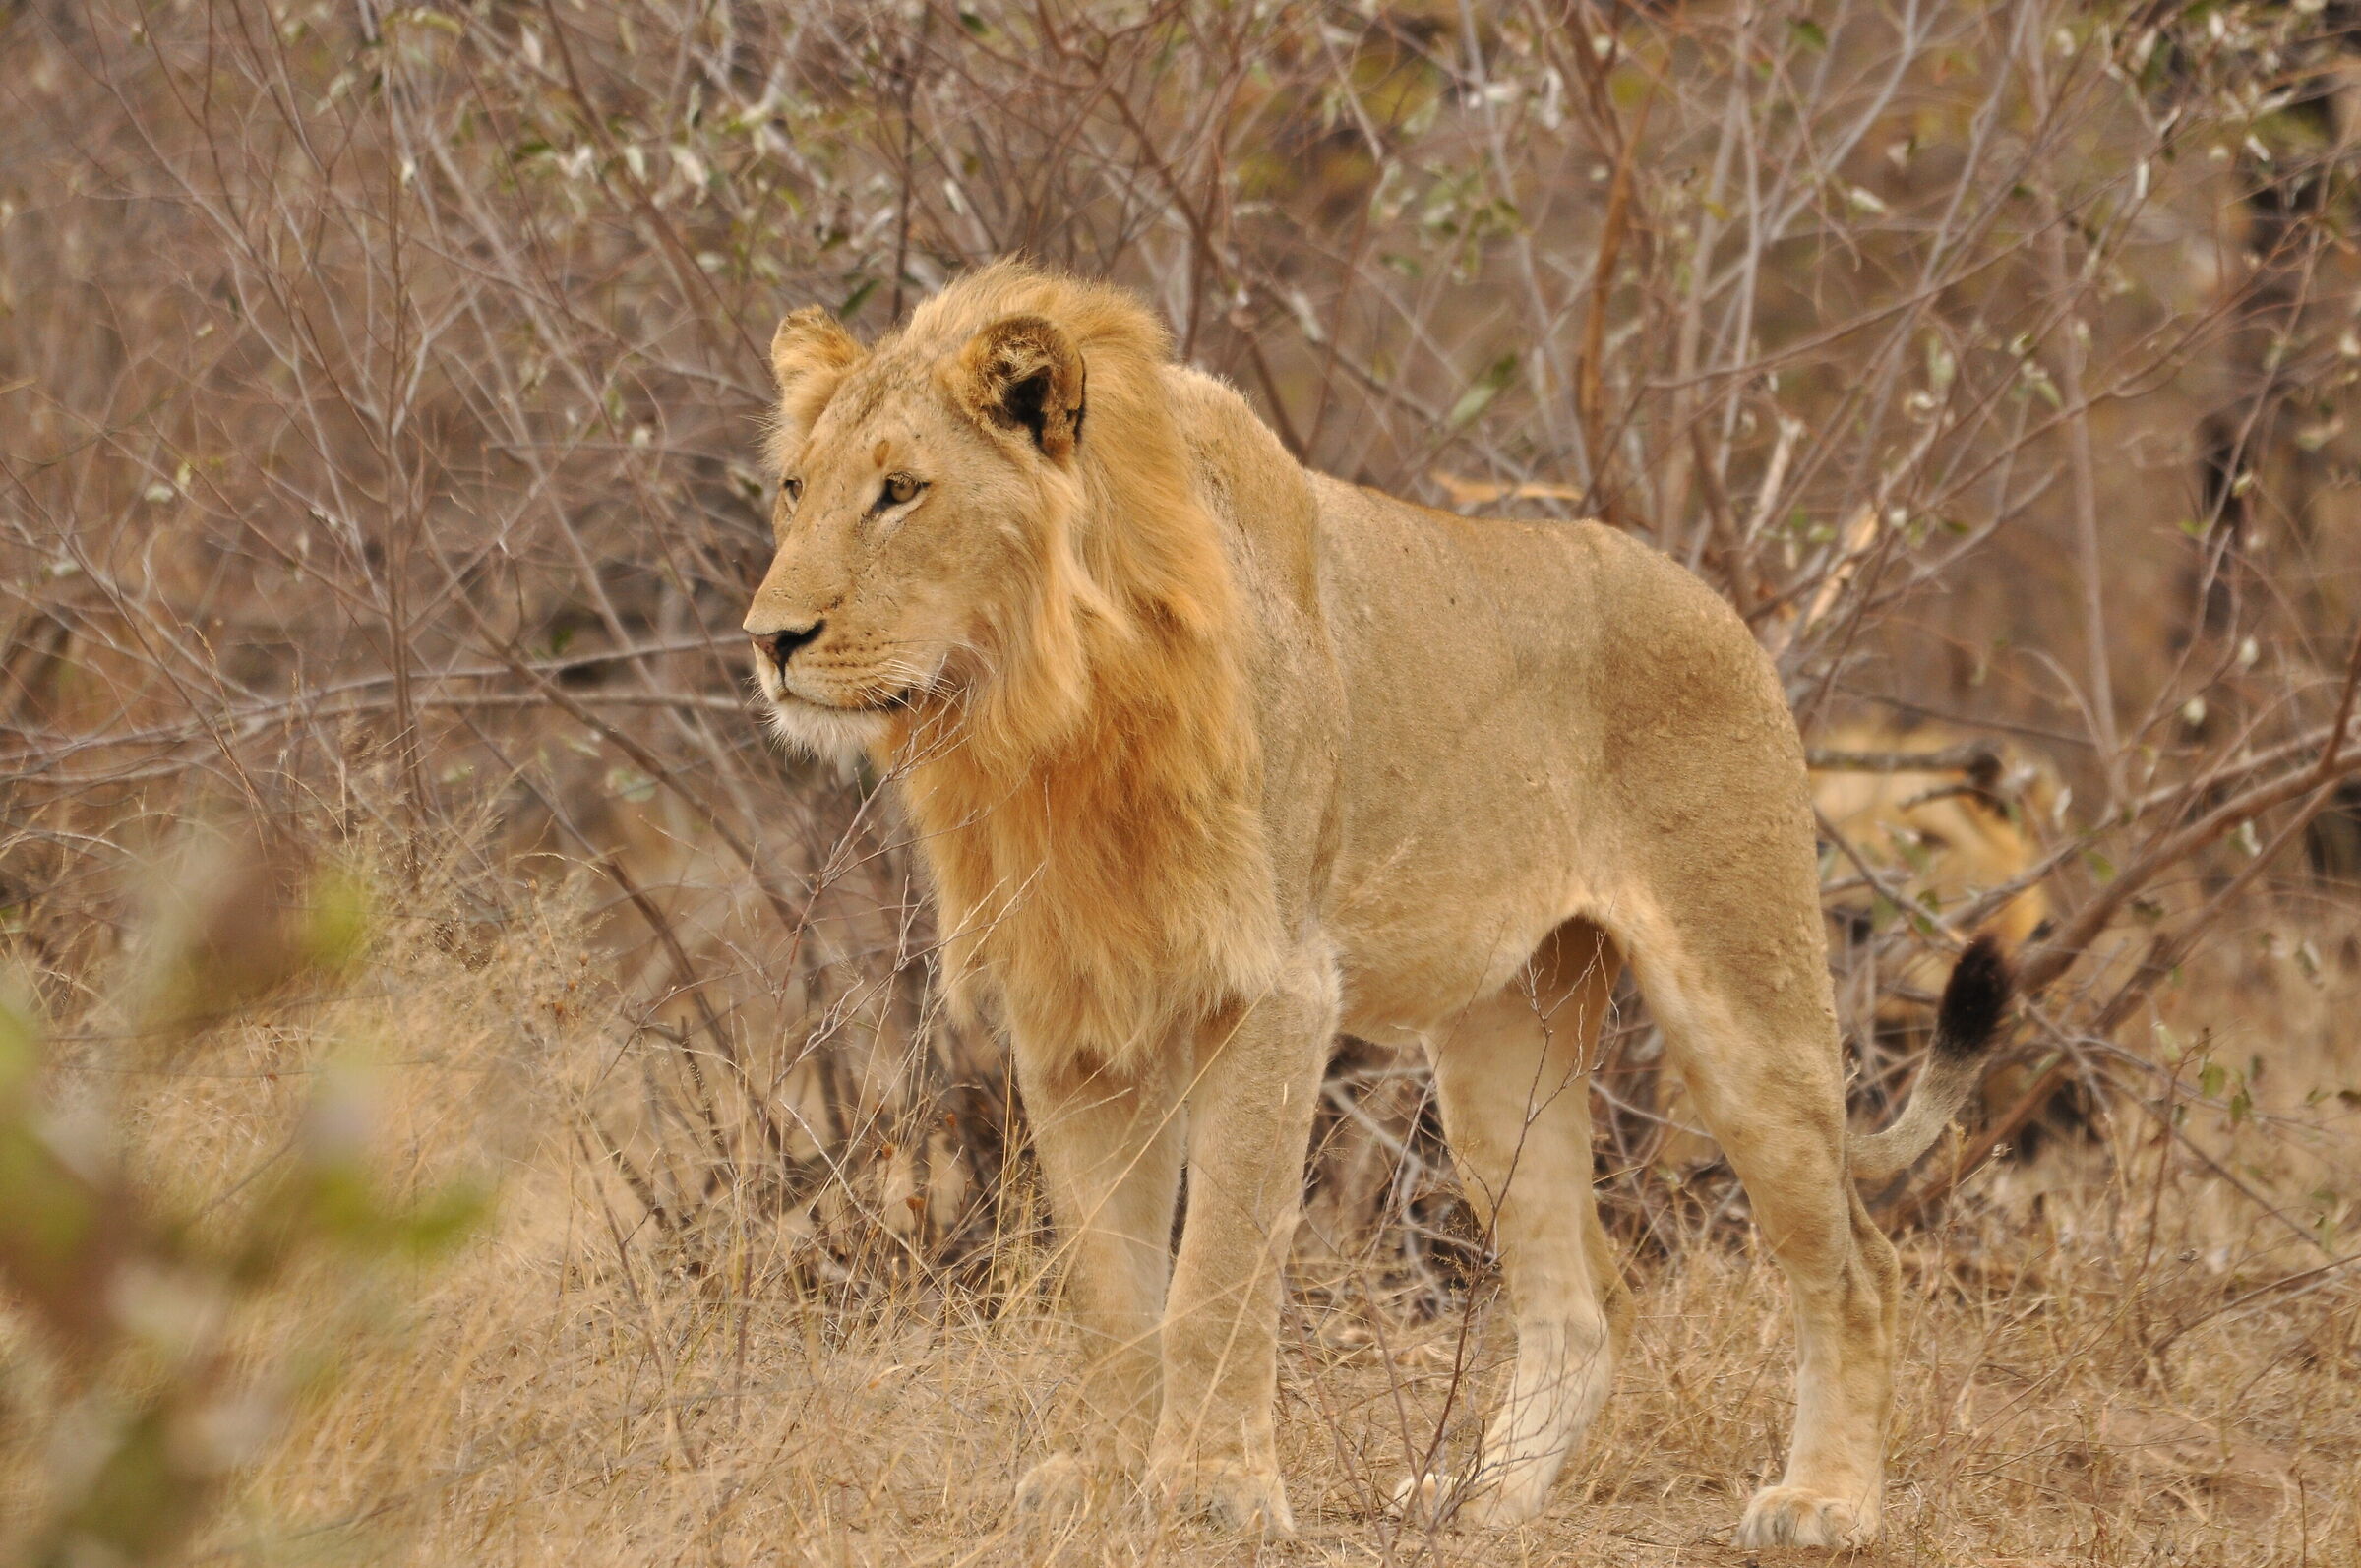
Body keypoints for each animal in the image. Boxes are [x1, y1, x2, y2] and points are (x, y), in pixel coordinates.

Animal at [742, 262, 2009, 1548]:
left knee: (1859, 1268)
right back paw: (1483, 1499)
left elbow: (1218, 1270)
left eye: (901, 492)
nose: (770, 640)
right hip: (1501, 1055)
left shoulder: (1276, 987)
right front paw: (1097, 1478)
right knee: (1585, 1301)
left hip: (1744, 1004)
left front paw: (1213, 1487)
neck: (1044, 712)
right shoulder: (1074, 1011)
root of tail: (1715, 602)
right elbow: (1107, 1290)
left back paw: (1825, 1501)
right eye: (796, 489)